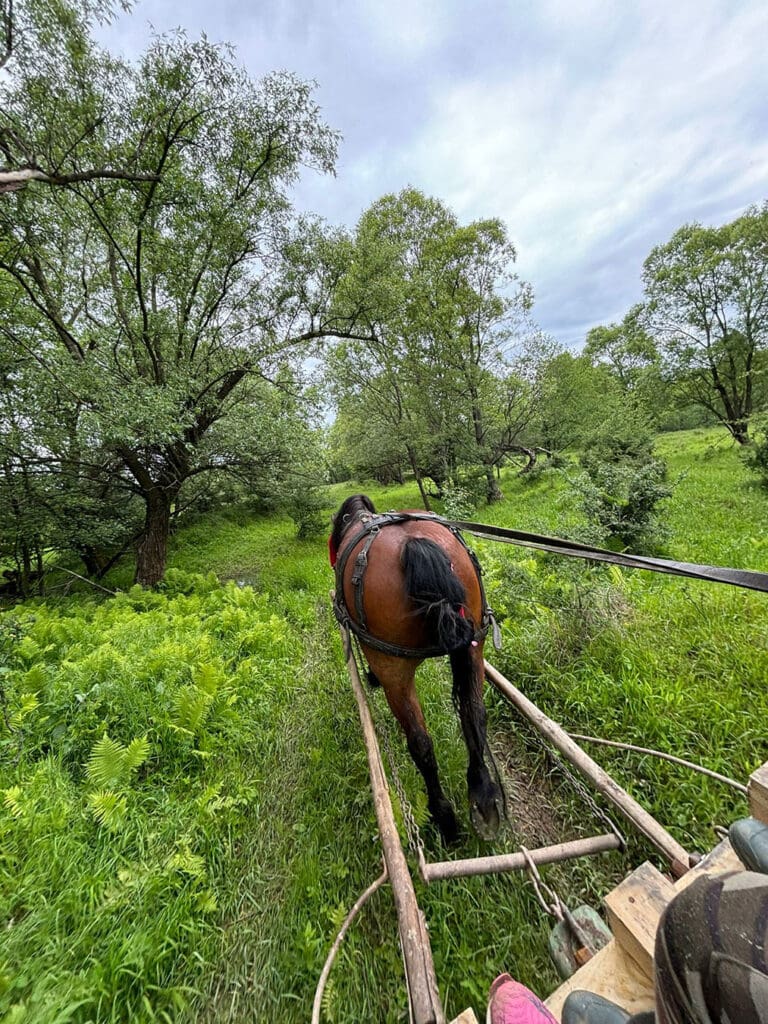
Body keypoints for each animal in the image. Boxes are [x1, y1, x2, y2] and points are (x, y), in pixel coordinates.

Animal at [330, 493, 503, 843]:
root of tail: (416, 544)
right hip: (473, 646)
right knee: (474, 713)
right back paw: (483, 797)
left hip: (393, 667)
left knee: (420, 743)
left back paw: (444, 818)